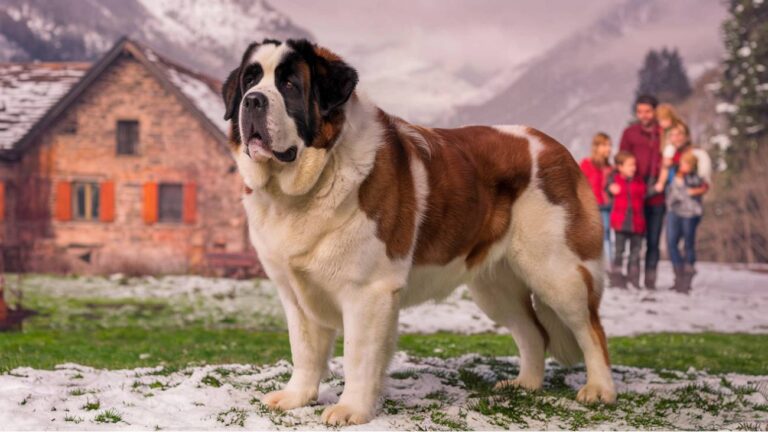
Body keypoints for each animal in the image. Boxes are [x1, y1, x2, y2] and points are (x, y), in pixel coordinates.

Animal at [222, 38, 616, 426]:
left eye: (289, 84)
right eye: (249, 80)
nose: (252, 100)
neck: (307, 185)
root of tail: (555, 147)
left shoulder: (368, 292)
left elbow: (358, 356)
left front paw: (351, 409)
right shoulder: (296, 293)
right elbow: (304, 349)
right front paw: (297, 397)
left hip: (559, 273)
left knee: (591, 329)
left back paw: (600, 390)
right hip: (495, 286)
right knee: (534, 332)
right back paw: (526, 385)